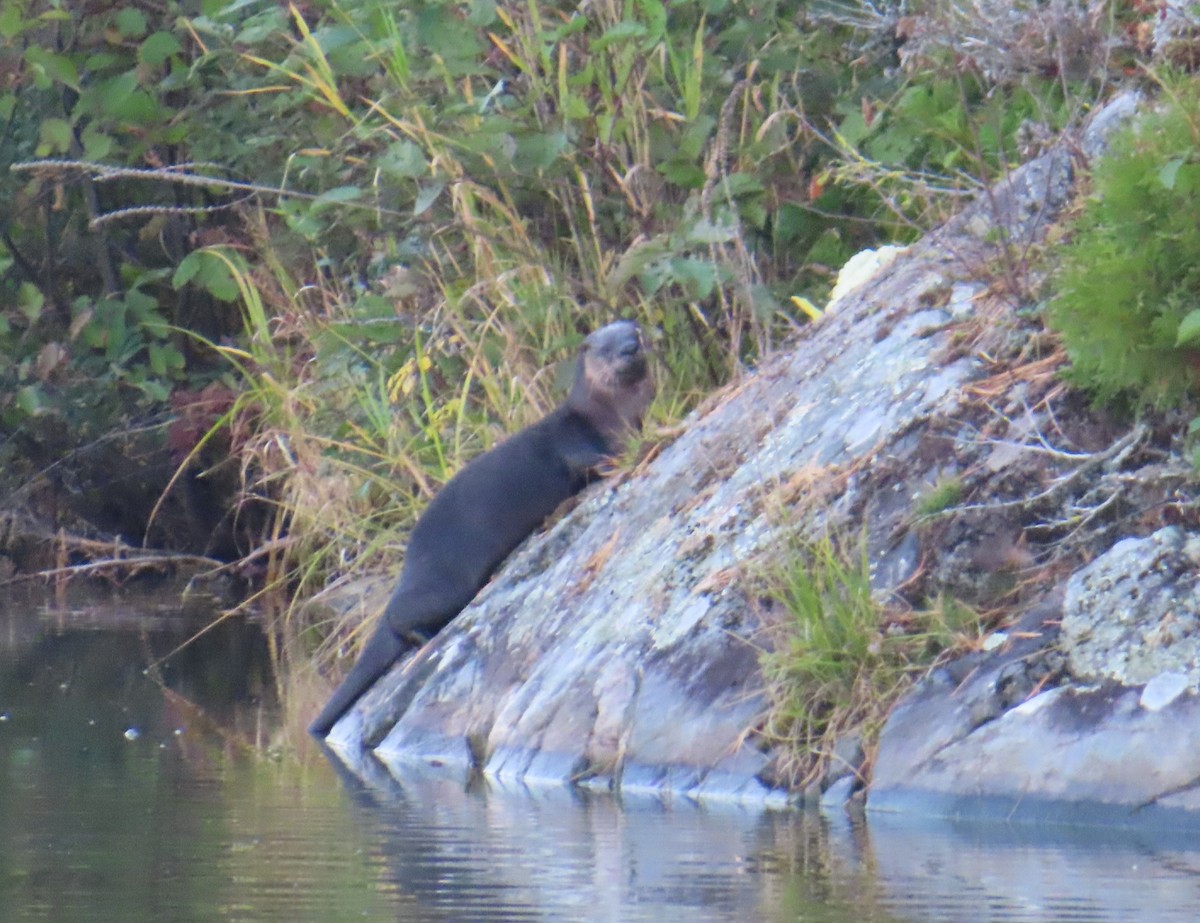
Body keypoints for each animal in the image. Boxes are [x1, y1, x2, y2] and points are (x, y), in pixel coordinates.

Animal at [309, 319, 655, 737]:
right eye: (605, 348)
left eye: (633, 331)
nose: (629, 347)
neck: (610, 415)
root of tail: (410, 566)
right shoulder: (573, 441)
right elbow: (592, 460)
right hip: (447, 584)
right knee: (398, 615)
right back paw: (422, 637)